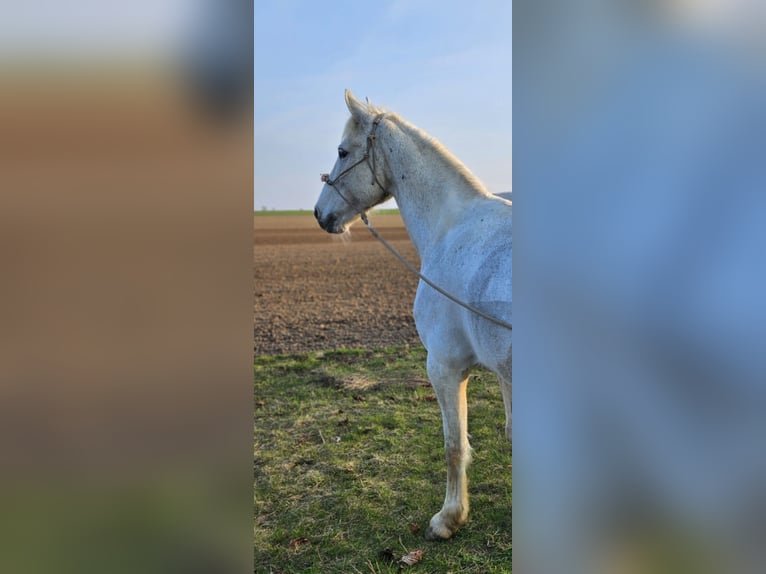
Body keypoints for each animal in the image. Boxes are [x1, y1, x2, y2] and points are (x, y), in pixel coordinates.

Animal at [314, 90, 512, 540]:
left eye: (342, 151)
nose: (319, 214)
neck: (449, 228)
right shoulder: (504, 372)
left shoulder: (444, 366)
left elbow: (454, 446)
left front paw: (448, 518)